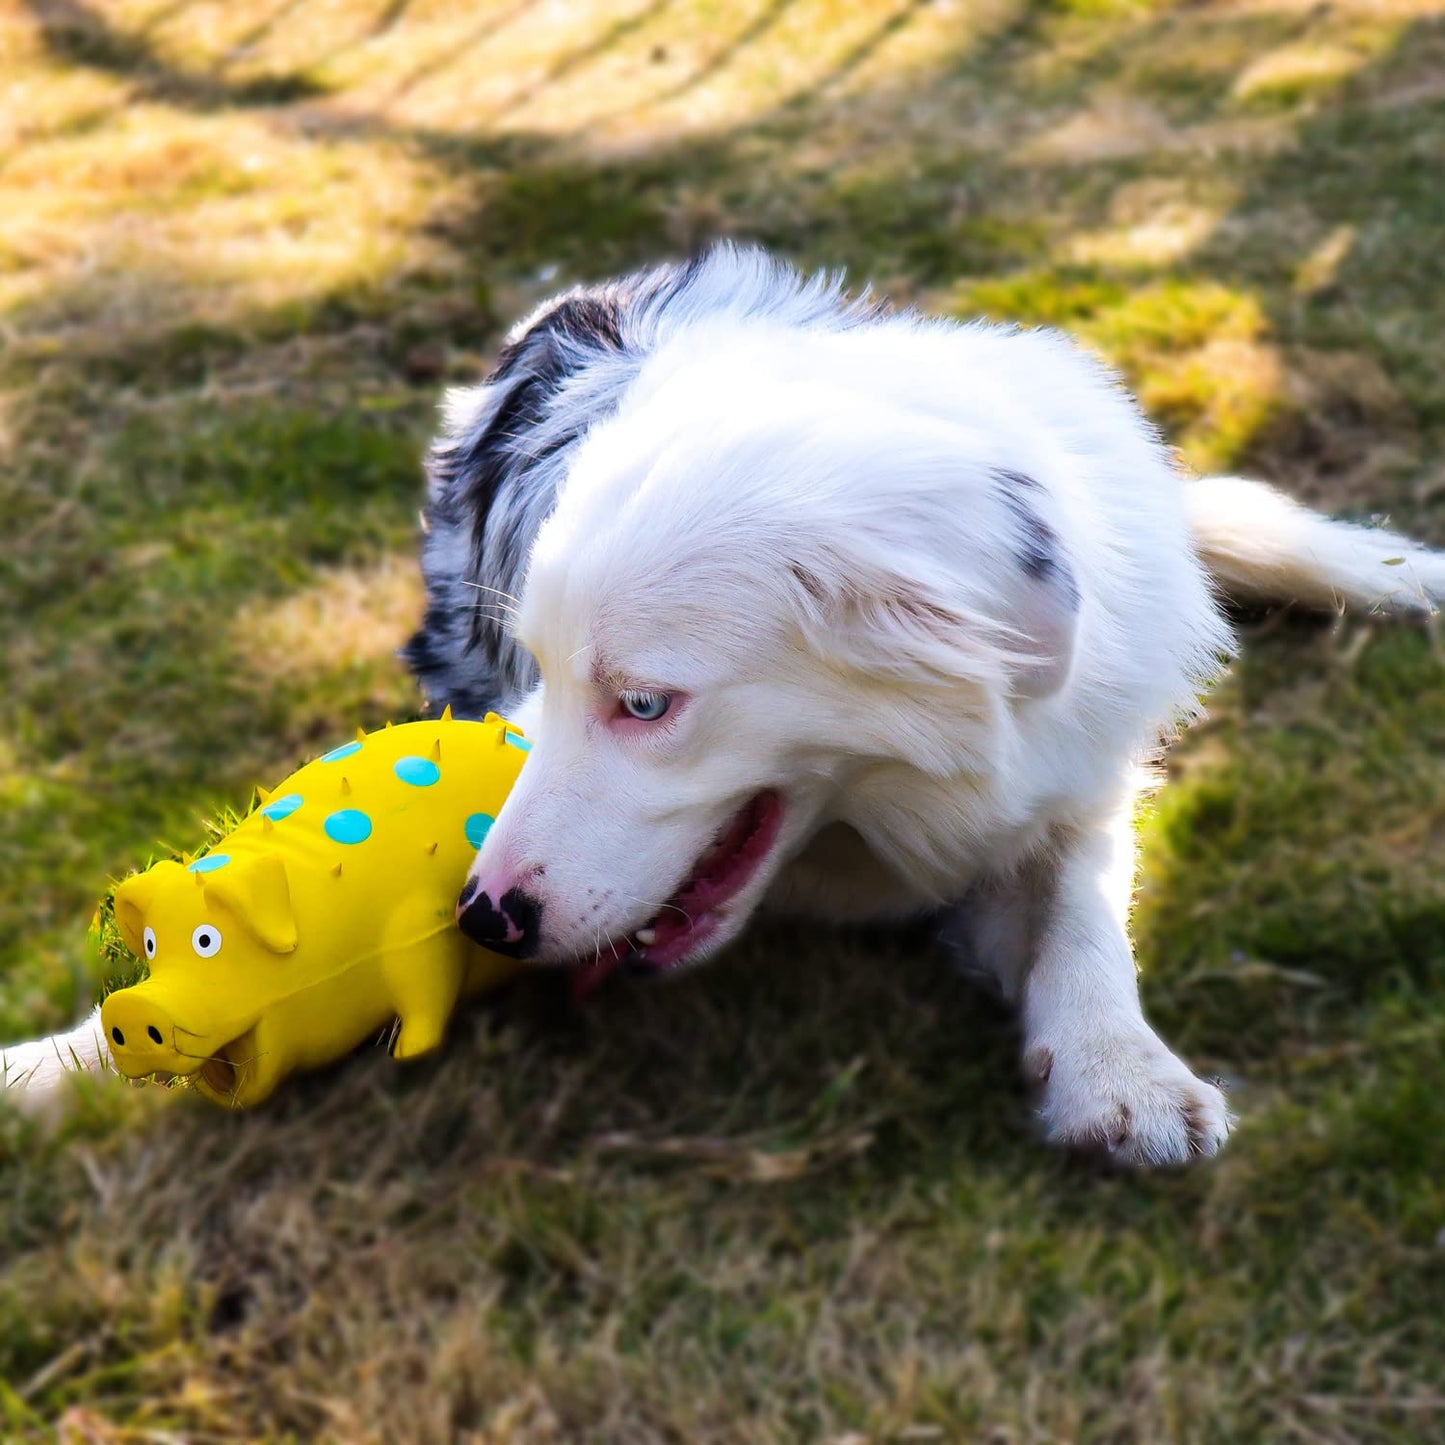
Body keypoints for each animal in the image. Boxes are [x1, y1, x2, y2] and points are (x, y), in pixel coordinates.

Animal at [5, 239, 1439, 1161]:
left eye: (646, 704)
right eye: (548, 681)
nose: (484, 916)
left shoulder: (1064, 759)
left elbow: (1082, 896)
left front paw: (1117, 1066)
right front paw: (57, 1062)